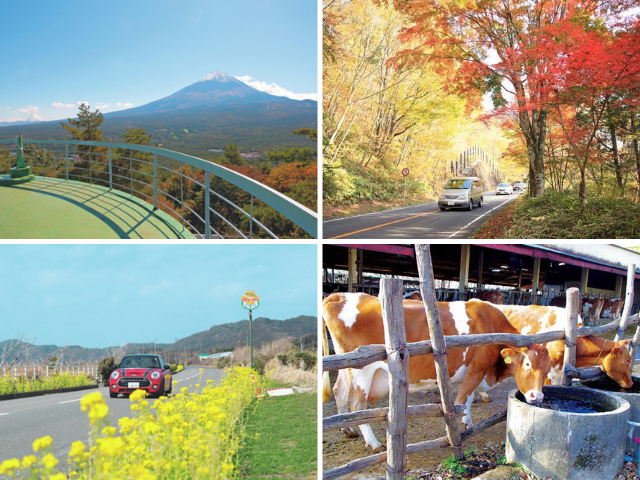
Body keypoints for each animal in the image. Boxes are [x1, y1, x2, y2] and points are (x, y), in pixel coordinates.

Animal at [322, 292, 552, 450]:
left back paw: (348, 429)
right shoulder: (477, 369)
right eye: (528, 365)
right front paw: (455, 432)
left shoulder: (474, 373)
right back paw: (374, 442)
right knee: (356, 403)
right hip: (361, 369)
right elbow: (461, 400)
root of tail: (341, 295)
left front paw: (467, 422)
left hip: (345, 366)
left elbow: (468, 400)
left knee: (339, 391)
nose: (538, 396)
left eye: (548, 369)